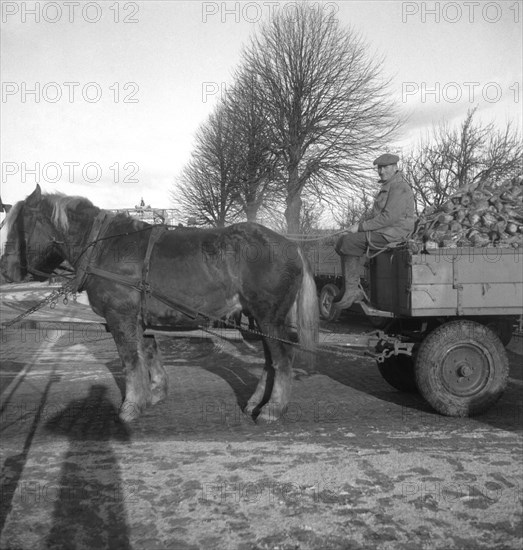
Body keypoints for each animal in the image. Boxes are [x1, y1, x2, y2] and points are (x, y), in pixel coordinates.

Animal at [1, 185, 320, 422]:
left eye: (20, 226)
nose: (6, 271)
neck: (102, 246)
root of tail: (292, 245)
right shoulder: (142, 319)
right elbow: (149, 354)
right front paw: (153, 394)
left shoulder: (121, 318)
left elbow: (130, 361)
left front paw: (131, 405)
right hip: (258, 320)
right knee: (270, 361)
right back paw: (257, 402)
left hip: (270, 317)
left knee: (282, 359)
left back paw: (273, 409)